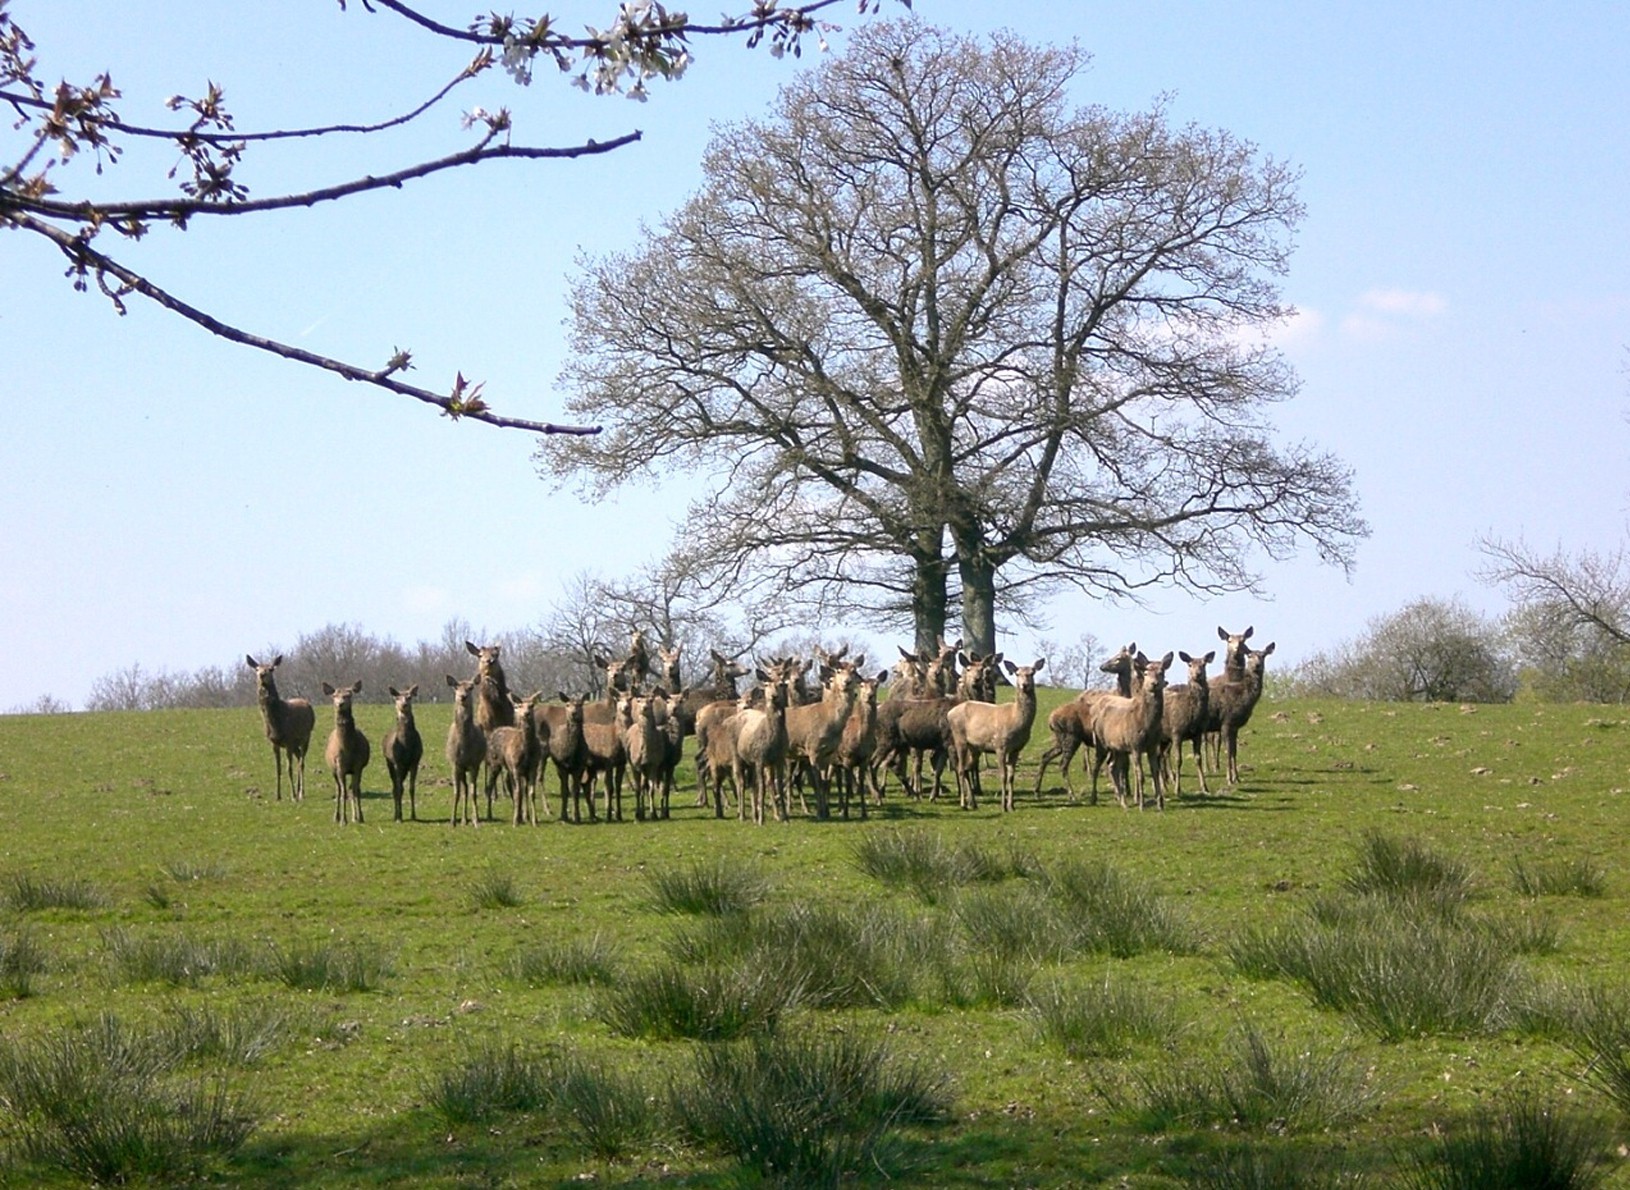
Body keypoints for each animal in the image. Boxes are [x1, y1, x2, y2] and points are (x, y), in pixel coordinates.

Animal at [244, 652, 314, 802]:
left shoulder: (288, 740)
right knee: (298, 759)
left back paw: (301, 793)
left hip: (306, 736)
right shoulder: (274, 742)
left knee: (302, 762)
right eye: (257, 668)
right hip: (296, 744)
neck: (276, 724)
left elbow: (289, 768)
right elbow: (278, 769)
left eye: (271, 669)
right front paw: (278, 795)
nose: (262, 674)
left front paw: (293, 796)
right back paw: (299, 790)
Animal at [321, 681, 370, 821]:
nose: (340, 704)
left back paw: (355, 816)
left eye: (349, 695)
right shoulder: (339, 766)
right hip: (333, 770)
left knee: (353, 788)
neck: (347, 750)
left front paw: (359, 817)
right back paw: (336, 817)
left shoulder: (358, 765)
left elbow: (355, 790)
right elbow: (343, 792)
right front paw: (343, 819)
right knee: (339, 789)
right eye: (334, 695)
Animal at [383, 681, 423, 821]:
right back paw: (395, 815)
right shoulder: (397, 762)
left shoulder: (415, 761)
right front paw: (399, 817)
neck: (406, 745)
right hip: (389, 763)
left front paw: (413, 815)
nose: (403, 705)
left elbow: (411, 788)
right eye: (397, 698)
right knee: (395, 787)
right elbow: (399, 789)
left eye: (409, 697)